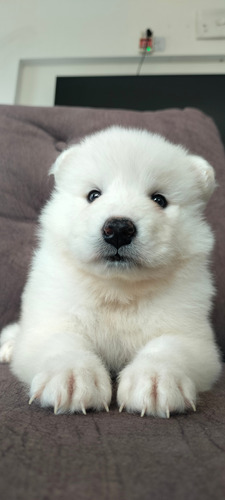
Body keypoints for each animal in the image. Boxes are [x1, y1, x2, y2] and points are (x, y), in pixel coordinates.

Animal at [0, 126, 221, 418]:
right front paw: (72, 378)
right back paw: (9, 345)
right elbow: (64, 342)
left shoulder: (191, 334)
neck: (117, 289)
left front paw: (156, 381)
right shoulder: (53, 317)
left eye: (159, 199)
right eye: (94, 195)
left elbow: (168, 348)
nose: (118, 229)